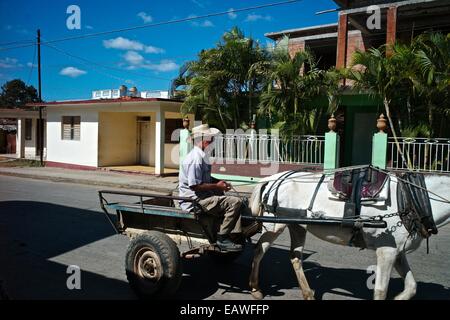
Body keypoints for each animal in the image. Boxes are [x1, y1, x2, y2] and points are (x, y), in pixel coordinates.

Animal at [248, 170, 450, 300]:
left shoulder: (397, 252)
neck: (410, 198)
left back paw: (307, 294)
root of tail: (273, 178)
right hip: (275, 225)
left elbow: (411, 287)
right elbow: (381, 291)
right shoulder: (386, 251)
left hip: (297, 225)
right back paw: (255, 288)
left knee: (295, 257)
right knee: (259, 250)